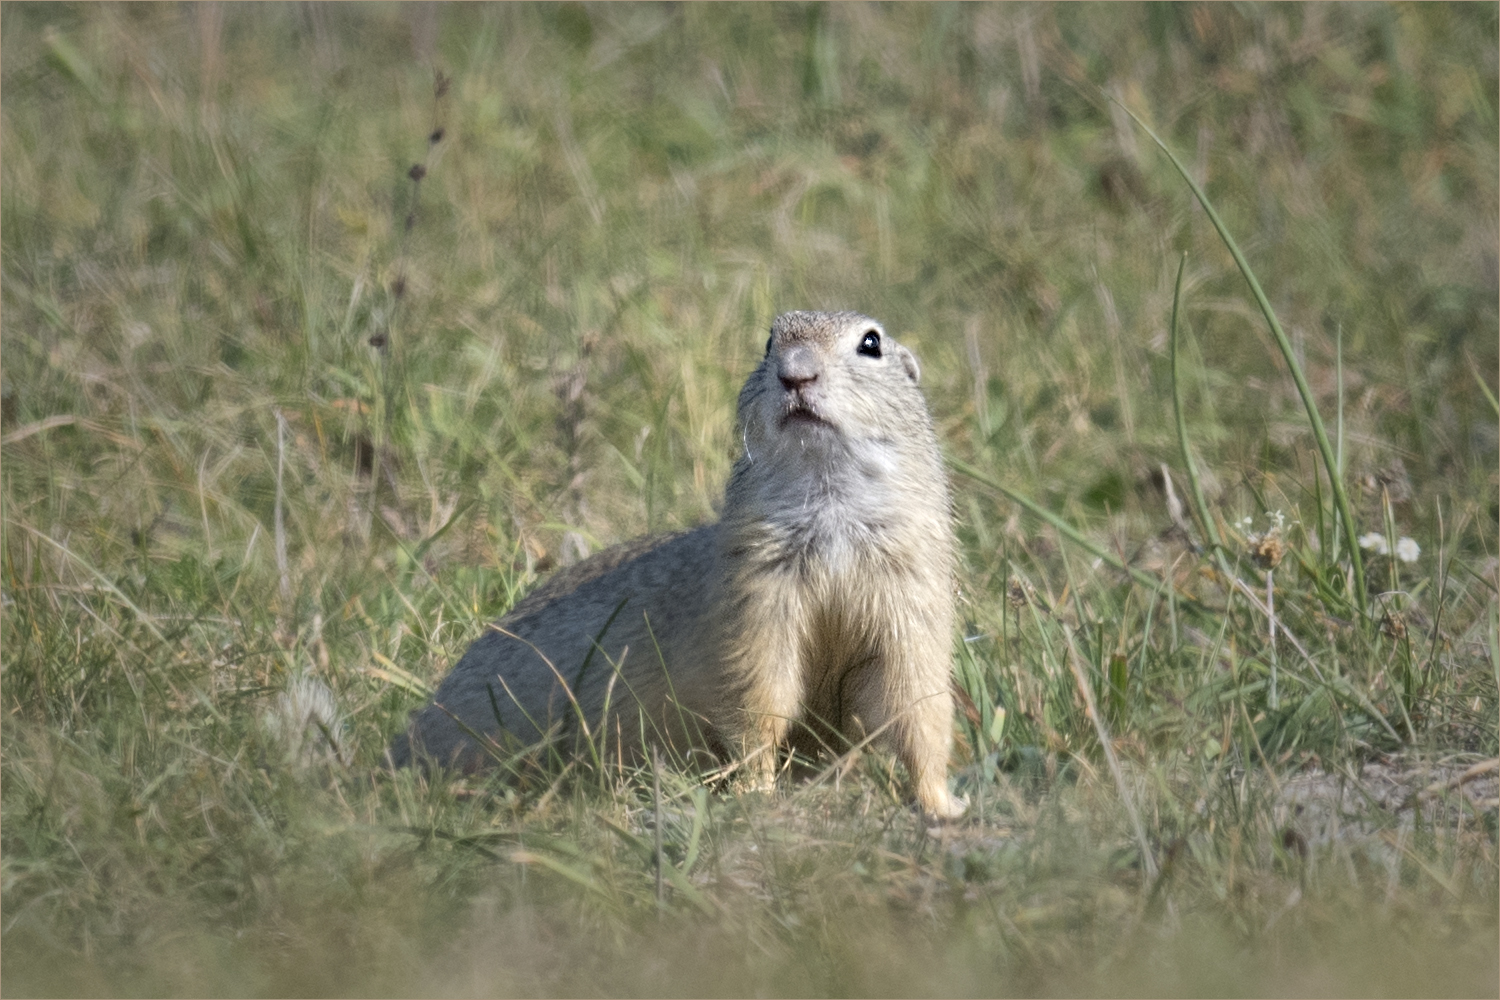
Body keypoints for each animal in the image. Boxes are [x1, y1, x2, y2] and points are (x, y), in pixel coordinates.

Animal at [387, 313, 960, 821]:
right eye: (768, 342)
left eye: (871, 343)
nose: (795, 373)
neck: (828, 503)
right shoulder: (755, 596)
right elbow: (760, 699)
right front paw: (756, 792)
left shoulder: (913, 590)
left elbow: (919, 701)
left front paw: (943, 803)